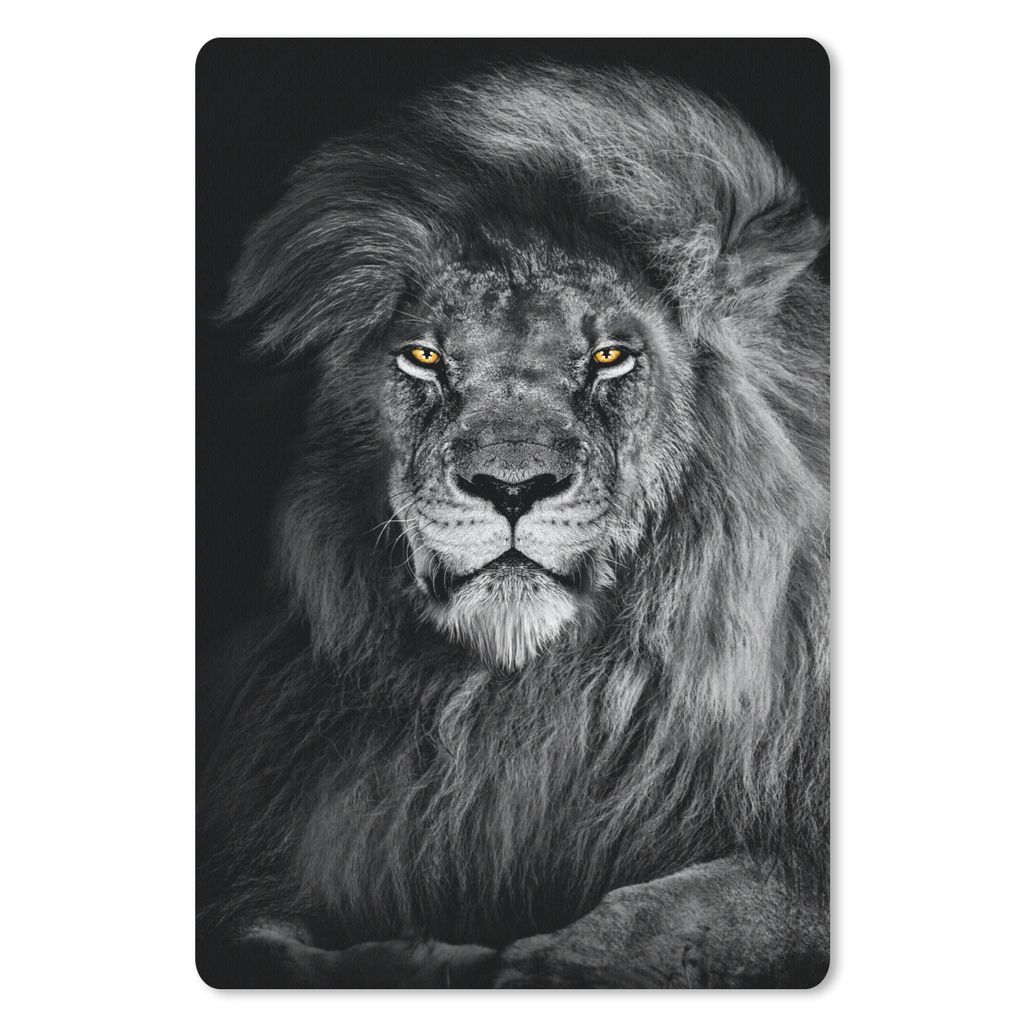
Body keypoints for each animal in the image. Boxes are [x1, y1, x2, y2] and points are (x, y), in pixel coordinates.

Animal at [197, 63, 830, 988]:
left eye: (610, 357)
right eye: (425, 357)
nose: (511, 486)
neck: (529, 702)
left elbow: (686, 915)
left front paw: (542, 965)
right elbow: (270, 943)